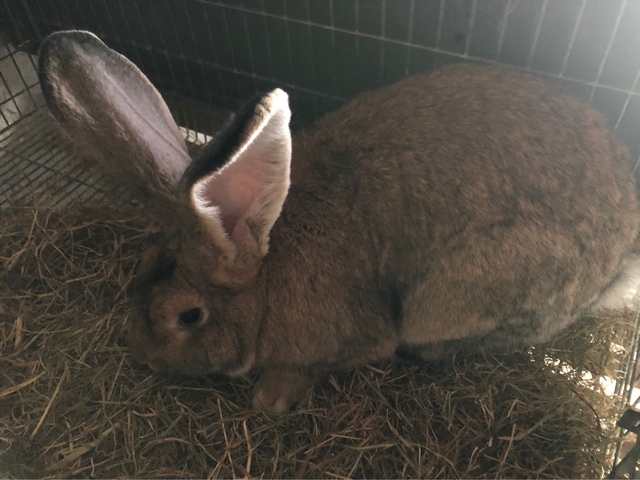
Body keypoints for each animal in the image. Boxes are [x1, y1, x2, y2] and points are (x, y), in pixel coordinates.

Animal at [40, 30, 640, 412]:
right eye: (138, 270)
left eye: (188, 316)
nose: (141, 354)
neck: (269, 277)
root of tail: (617, 262)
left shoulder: (354, 338)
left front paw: (272, 397)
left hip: (452, 299)